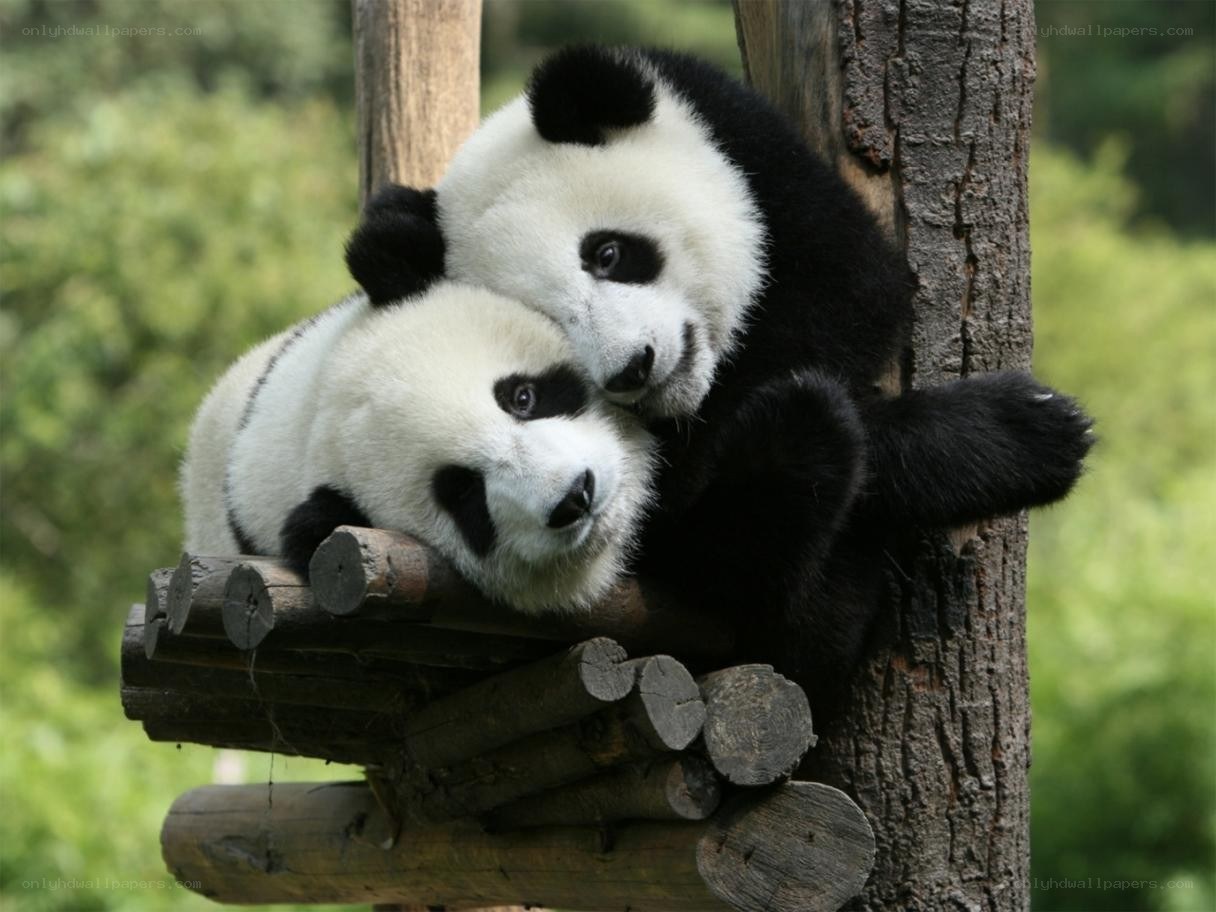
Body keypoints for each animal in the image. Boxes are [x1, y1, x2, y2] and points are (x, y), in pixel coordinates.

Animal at [345, 45, 1093, 708]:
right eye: (549, 320)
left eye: (608, 253)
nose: (634, 368)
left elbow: (852, 293)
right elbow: (693, 514)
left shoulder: (753, 156)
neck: (700, 393)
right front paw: (1024, 433)